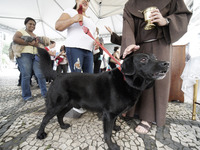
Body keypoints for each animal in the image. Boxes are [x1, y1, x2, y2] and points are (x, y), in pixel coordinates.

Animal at [36, 48, 169, 150]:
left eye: (155, 57)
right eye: (143, 59)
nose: (166, 63)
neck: (127, 81)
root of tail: (58, 74)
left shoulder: (113, 114)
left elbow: (113, 124)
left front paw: (115, 128)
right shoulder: (109, 114)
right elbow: (107, 133)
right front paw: (112, 145)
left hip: (68, 104)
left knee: (60, 115)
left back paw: (63, 126)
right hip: (56, 105)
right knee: (45, 119)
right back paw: (40, 134)